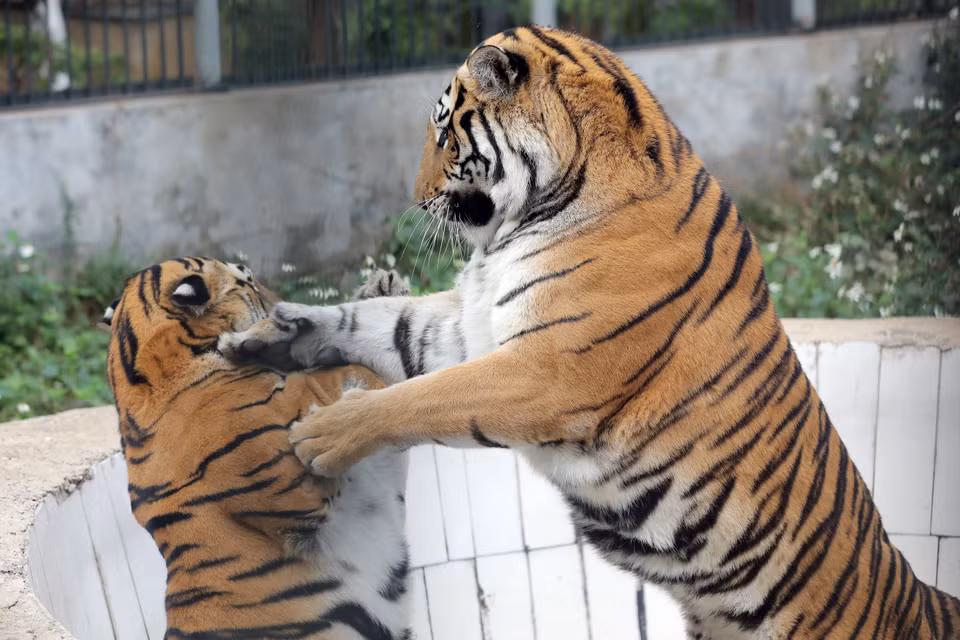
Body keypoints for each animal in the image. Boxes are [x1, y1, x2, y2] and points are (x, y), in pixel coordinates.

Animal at [219, 27, 960, 640]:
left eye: (445, 133)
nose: (414, 198)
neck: (533, 212)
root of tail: (920, 599)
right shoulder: (472, 328)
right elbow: (378, 321)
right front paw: (270, 335)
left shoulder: (545, 371)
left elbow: (420, 399)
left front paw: (322, 435)